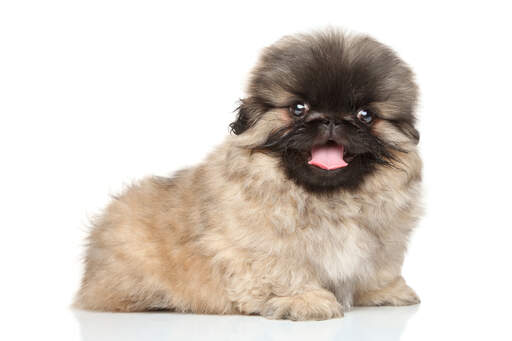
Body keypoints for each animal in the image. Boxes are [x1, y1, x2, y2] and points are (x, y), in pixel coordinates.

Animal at [75, 28, 420, 318]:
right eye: (298, 109)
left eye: (365, 115)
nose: (332, 120)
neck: (329, 199)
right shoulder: (264, 247)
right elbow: (286, 271)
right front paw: (304, 301)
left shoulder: (384, 244)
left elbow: (379, 270)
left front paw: (385, 292)